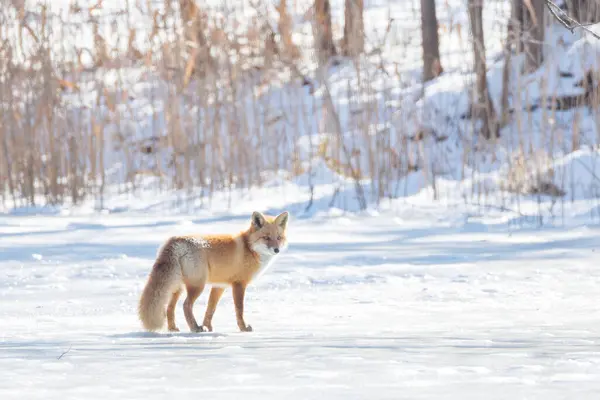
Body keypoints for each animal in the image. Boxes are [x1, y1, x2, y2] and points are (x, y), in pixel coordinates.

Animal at [138, 211, 288, 332]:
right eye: (266, 237)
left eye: (278, 238)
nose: (276, 250)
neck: (250, 248)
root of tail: (175, 241)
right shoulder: (239, 284)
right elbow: (239, 310)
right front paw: (243, 328)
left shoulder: (219, 286)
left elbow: (211, 309)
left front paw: (208, 327)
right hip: (197, 285)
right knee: (186, 305)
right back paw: (195, 328)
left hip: (177, 287)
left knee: (169, 308)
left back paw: (173, 328)